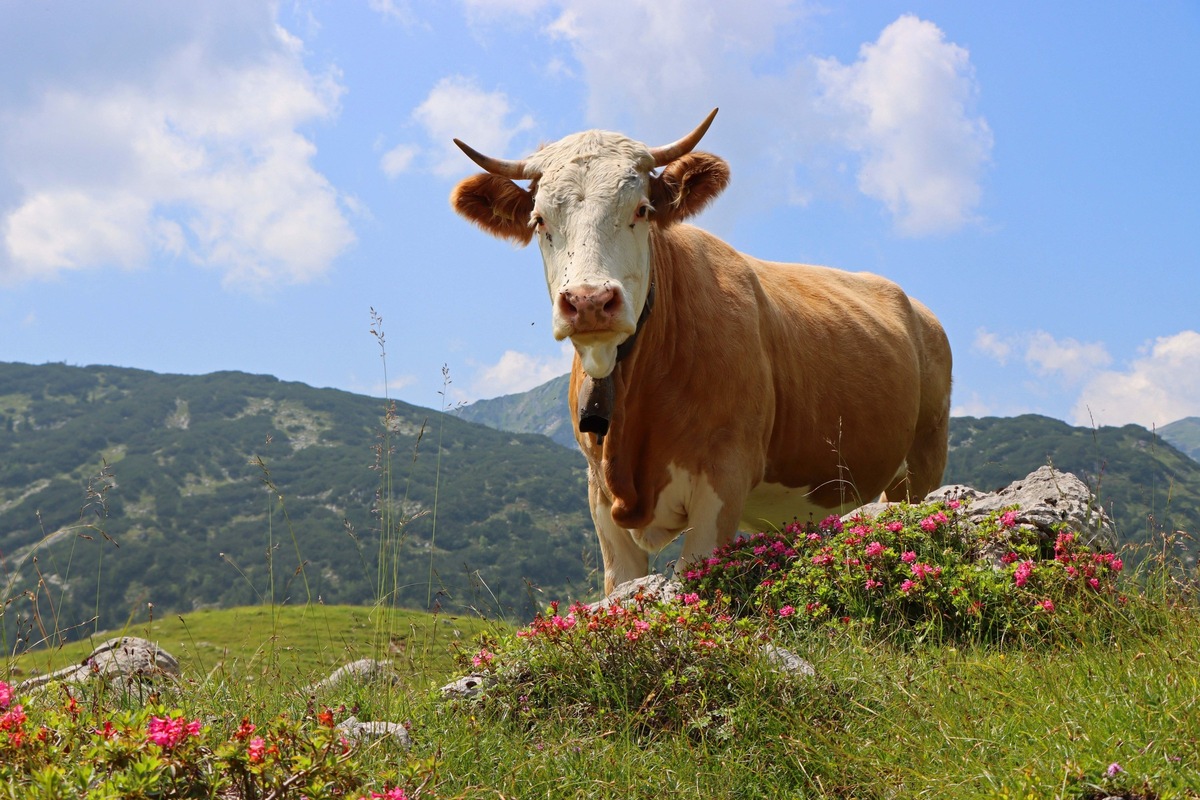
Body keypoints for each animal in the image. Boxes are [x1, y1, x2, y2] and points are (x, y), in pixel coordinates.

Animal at [451, 107, 955, 594]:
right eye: (539, 221)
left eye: (642, 209)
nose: (589, 301)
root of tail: (913, 305)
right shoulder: (599, 499)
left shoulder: (723, 479)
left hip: (924, 461)